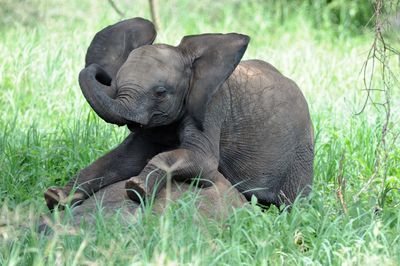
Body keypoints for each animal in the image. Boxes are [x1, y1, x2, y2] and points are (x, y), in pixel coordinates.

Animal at [43, 16, 312, 212]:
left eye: (161, 92)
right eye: (116, 85)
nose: (99, 72)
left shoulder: (212, 107)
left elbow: (203, 162)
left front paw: (137, 189)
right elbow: (122, 159)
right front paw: (56, 198)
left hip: (301, 151)